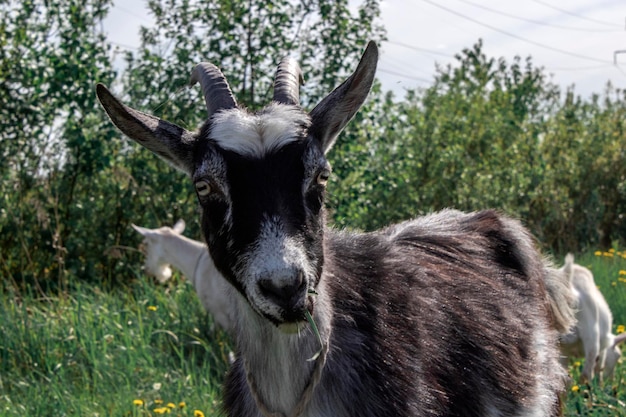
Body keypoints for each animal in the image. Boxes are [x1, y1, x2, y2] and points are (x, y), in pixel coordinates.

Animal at [560, 252, 620, 382]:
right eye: (617, 356)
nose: (612, 380)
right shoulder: (602, 350)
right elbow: (598, 369)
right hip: (591, 336)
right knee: (587, 374)